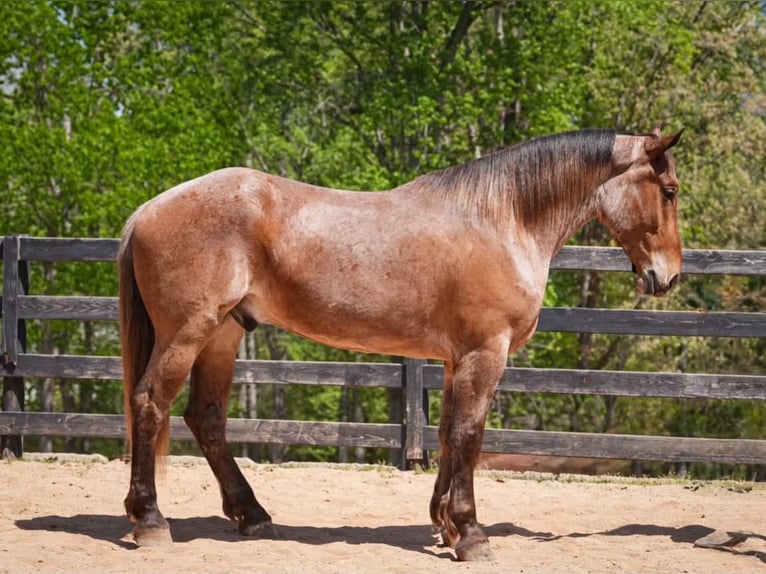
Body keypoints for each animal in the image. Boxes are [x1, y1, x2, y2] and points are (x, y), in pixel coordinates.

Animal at [118, 127, 683, 561]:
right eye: (670, 190)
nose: (668, 277)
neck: (502, 221)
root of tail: (147, 210)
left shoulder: (457, 360)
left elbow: (449, 434)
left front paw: (444, 524)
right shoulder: (484, 353)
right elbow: (471, 436)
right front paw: (470, 534)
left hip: (224, 333)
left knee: (205, 418)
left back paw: (252, 515)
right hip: (187, 331)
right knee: (149, 403)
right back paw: (150, 521)